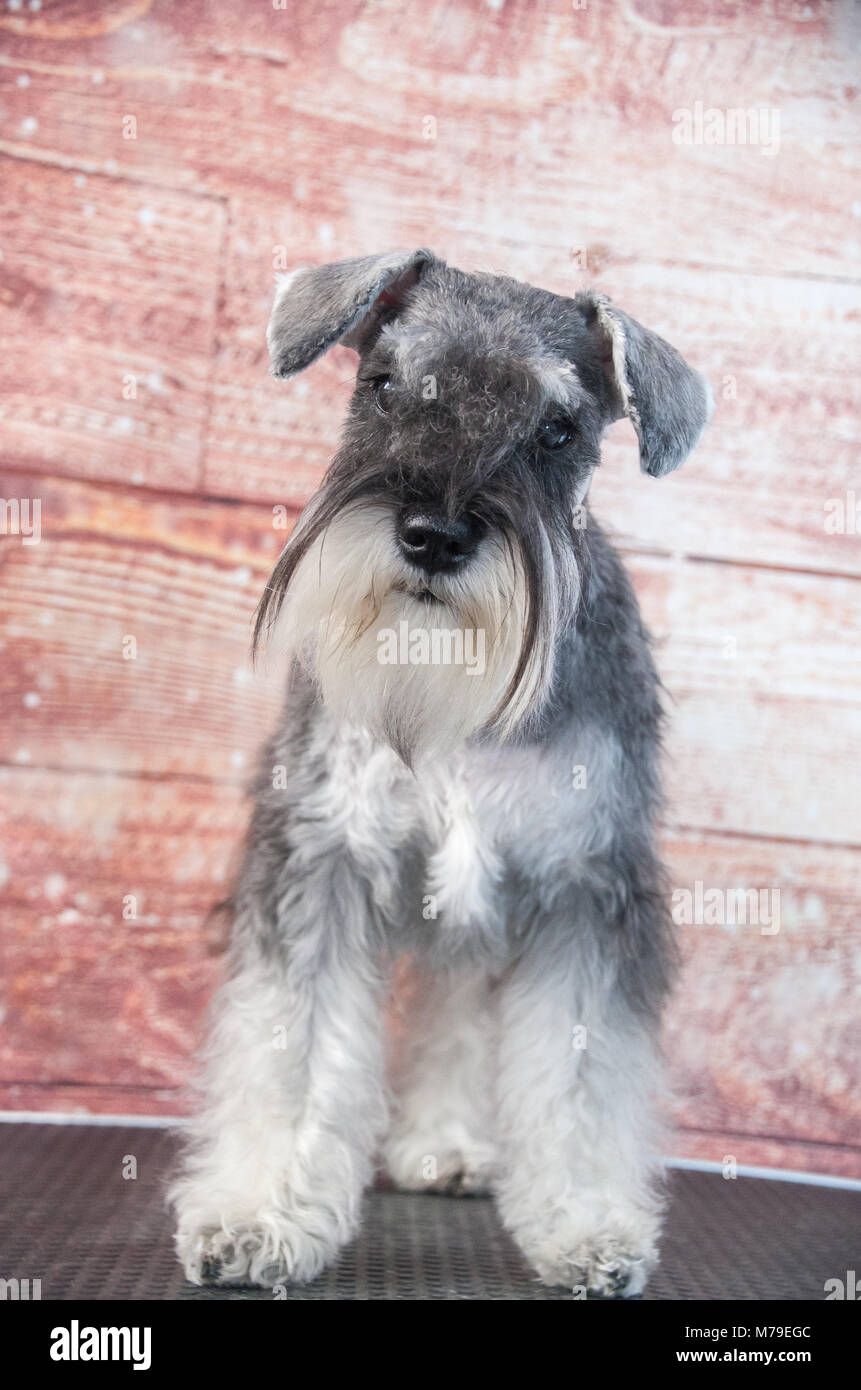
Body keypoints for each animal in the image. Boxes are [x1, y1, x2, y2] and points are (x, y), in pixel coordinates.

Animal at [170, 247, 712, 1289]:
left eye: (555, 429)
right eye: (383, 385)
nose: (433, 535)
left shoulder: (586, 884)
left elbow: (578, 1075)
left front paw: (584, 1224)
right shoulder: (322, 856)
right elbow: (293, 1046)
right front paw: (260, 1214)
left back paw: (455, 1145)